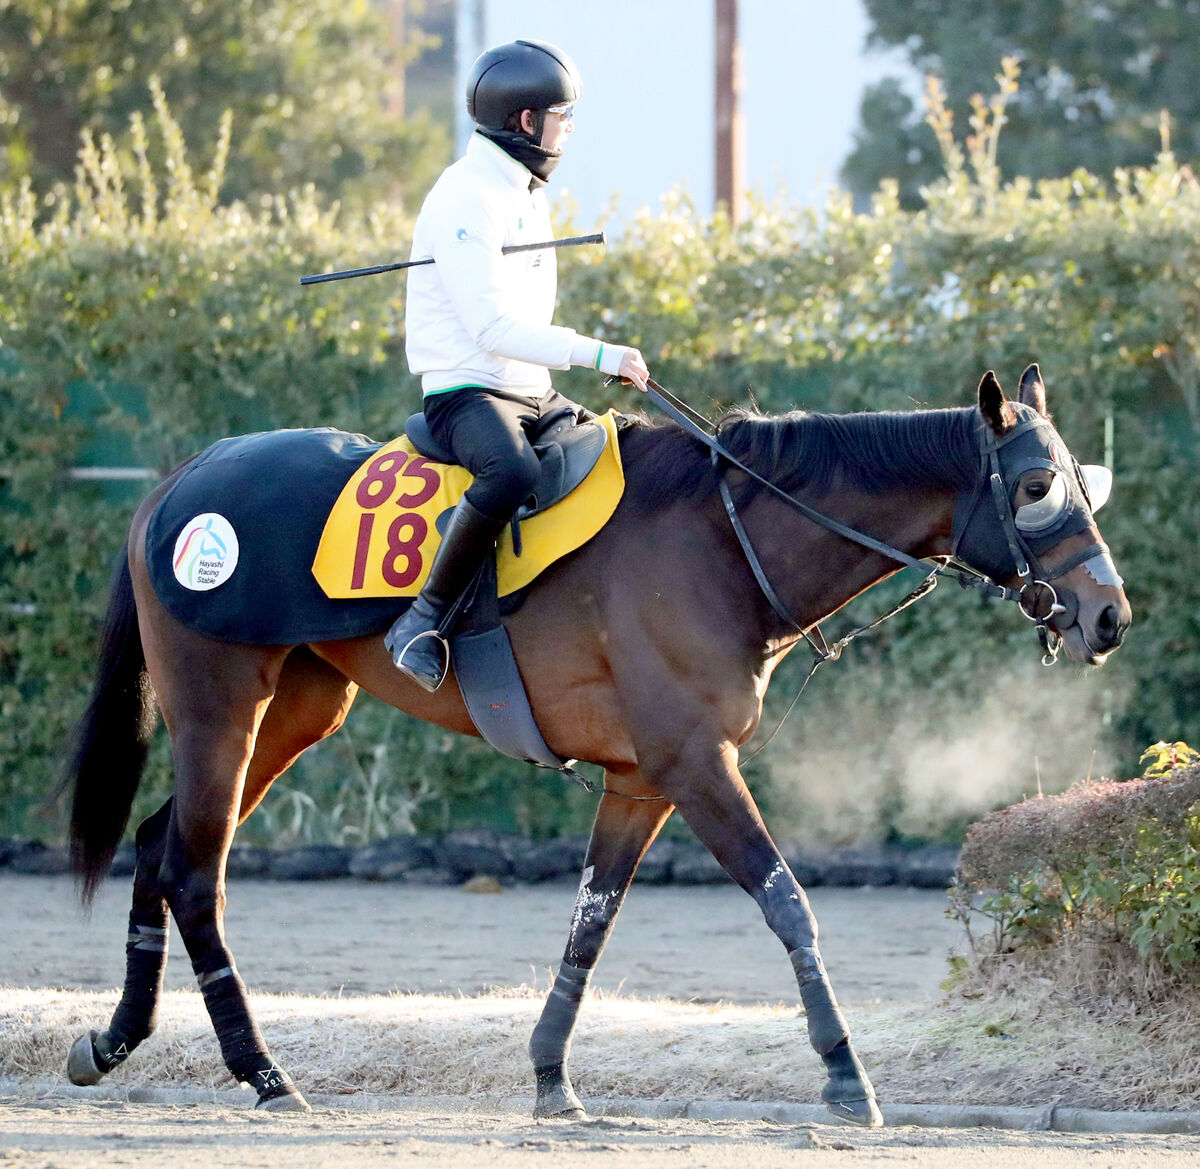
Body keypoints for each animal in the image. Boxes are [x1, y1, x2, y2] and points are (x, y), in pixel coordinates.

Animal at [63, 364, 1132, 1123]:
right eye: (1037, 485)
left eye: (1086, 481)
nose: (1110, 615)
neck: (722, 541)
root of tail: (184, 480)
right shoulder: (697, 765)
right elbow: (787, 901)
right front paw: (843, 1073)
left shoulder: (640, 782)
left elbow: (590, 922)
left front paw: (550, 1075)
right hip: (221, 708)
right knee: (196, 870)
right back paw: (262, 1069)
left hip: (294, 709)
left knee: (160, 846)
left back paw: (115, 1040)